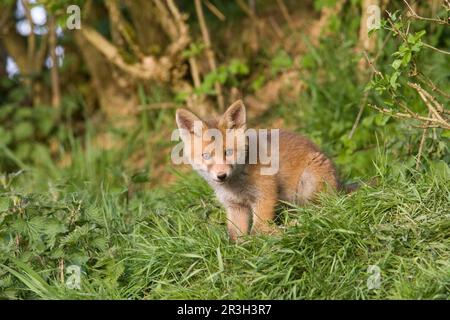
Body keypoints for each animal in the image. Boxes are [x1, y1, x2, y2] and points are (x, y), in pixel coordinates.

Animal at [176, 100, 338, 242]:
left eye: (228, 152)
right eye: (206, 156)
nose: (221, 176)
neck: (236, 186)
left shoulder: (265, 196)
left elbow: (258, 230)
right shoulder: (236, 206)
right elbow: (236, 237)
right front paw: (241, 250)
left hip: (307, 184)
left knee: (317, 210)